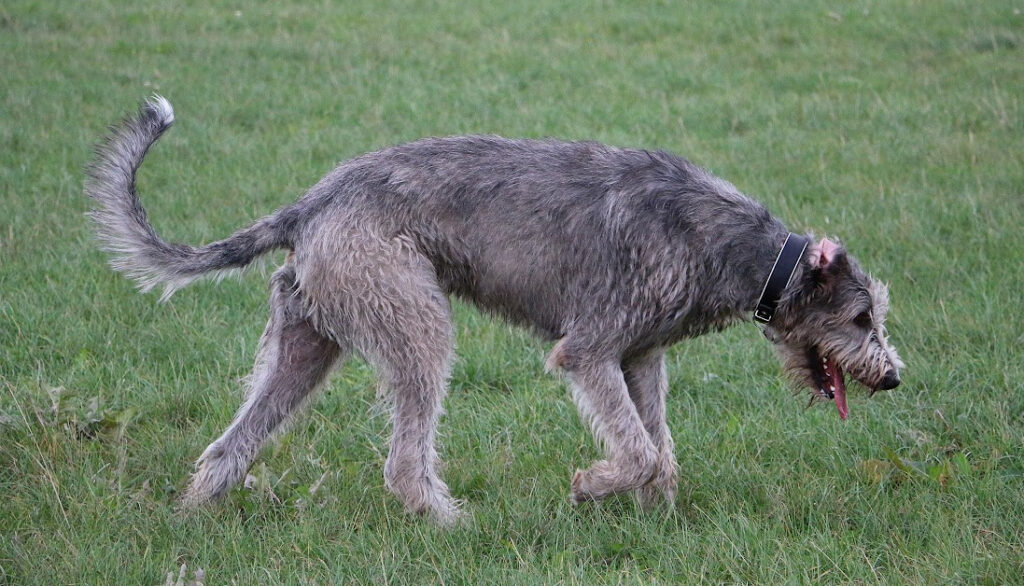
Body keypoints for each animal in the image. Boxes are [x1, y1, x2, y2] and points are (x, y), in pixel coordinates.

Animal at [88, 97, 905, 524]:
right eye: (863, 319)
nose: (894, 377)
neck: (739, 250)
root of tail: (310, 202)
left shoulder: (641, 357)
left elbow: (659, 444)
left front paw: (658, 514)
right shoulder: (590, 351)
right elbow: (639, 447)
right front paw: (593, 485)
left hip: (307, 341)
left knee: (228, 446)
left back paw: (194, 518)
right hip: (416, 322)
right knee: (403, 461)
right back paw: (448, 522)